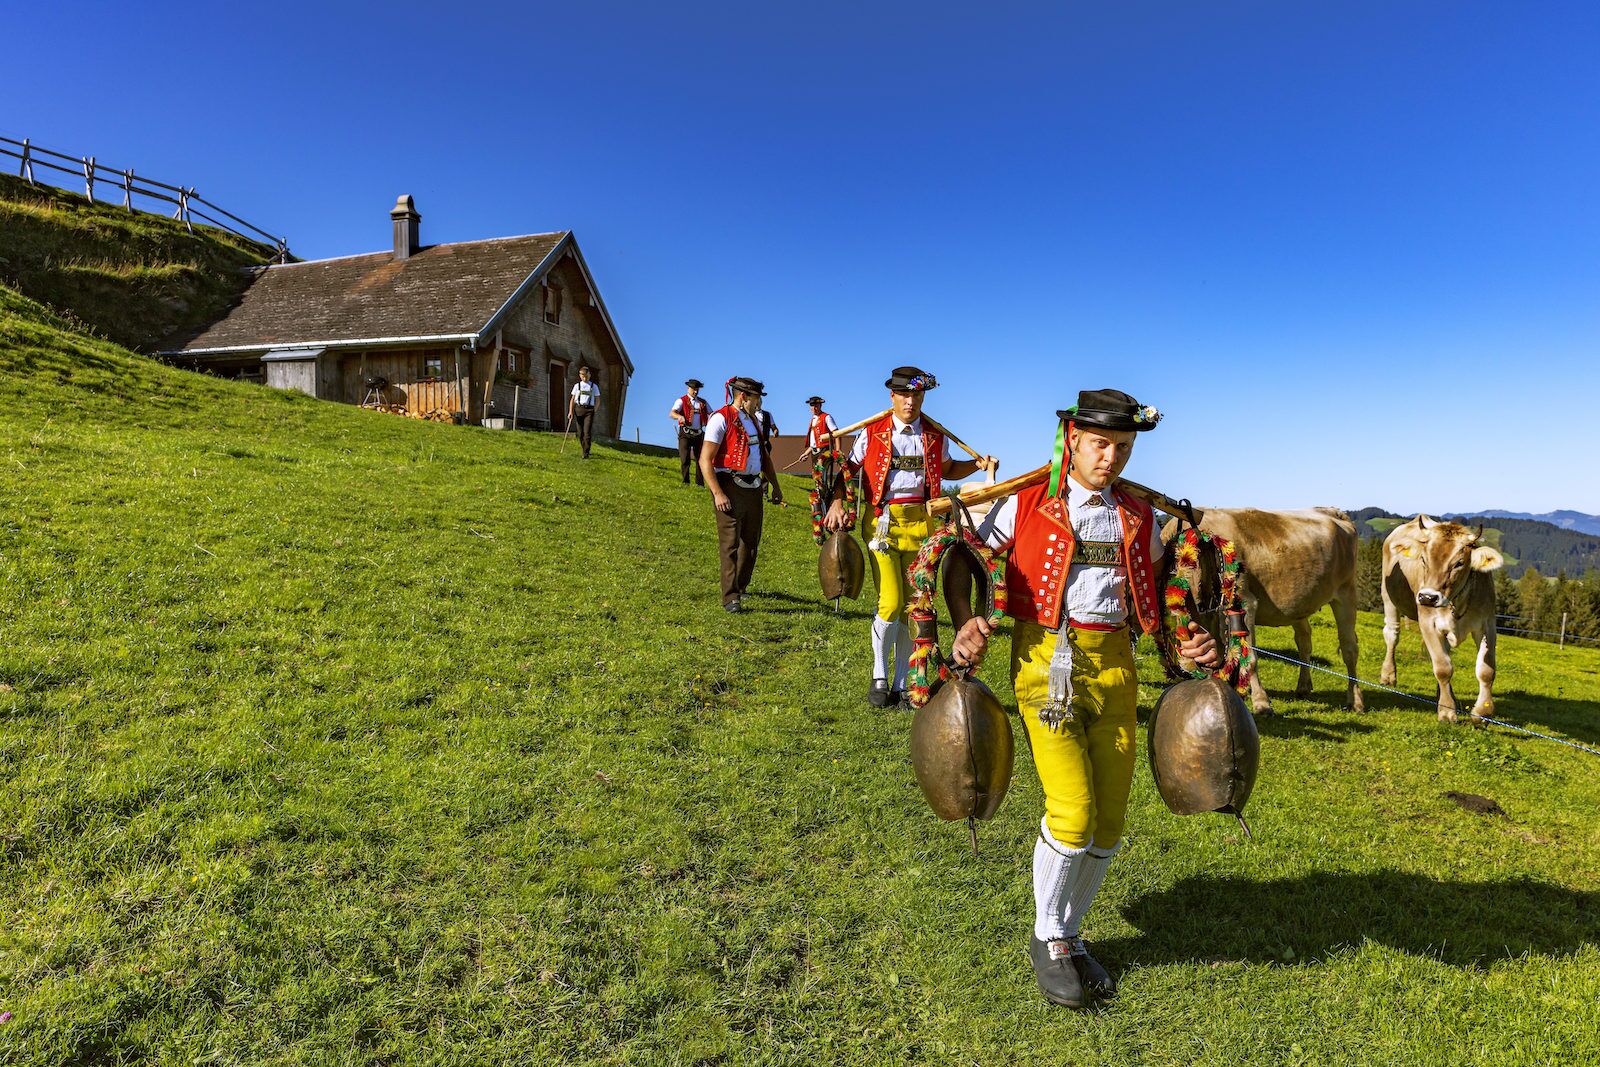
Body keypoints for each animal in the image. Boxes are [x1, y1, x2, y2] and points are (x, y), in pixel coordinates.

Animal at [1164, 508, 1363, 716]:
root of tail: (1333, 511)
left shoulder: (1245, 601)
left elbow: (1250, 658)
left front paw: (1261, 702)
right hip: (1299, 601)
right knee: (1304, 642)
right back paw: (1303, 687)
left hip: (1346, 592)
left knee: (1349, 648)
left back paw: (1355, 700)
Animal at [1382, 515, 1504, 723]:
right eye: (1423, 559)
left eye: (1459, 563)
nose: (1427, 597)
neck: (1457, 601)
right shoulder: (1428, 624)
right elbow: (1442, 668)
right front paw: (1447, 711)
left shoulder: (1487, 624)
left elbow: (1486, 671)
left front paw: (1483, 712)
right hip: (1388, 597)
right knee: (1392, 634)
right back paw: (1388, 675)